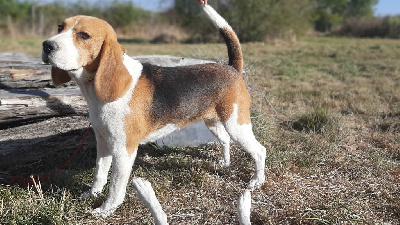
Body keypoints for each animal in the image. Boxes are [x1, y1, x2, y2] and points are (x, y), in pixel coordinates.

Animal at [41, 3, 266, 218]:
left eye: (83, 35)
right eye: (60, 27)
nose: (46, 45)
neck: (94, 92)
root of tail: (232, 68)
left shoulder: (124, 149)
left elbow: (115, 186)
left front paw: (106, 210)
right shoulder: (103, 142)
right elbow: (99, 174)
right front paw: (92, 194)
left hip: (237, 125)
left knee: (259, 150)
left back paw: (257, 181)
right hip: (214, 122)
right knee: (226, 141)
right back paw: (225, 163)